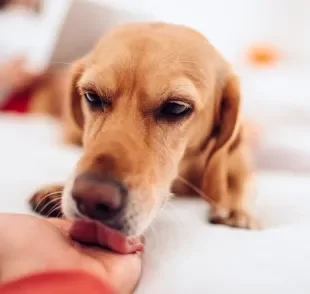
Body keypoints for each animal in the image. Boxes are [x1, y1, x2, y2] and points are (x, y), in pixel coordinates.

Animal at [30, 23, 260, 239]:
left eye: (177, 107)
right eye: (91, 96)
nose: (91, 198)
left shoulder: (238, 164)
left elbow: (237, 184)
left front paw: (234, 209)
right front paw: (57, 189)